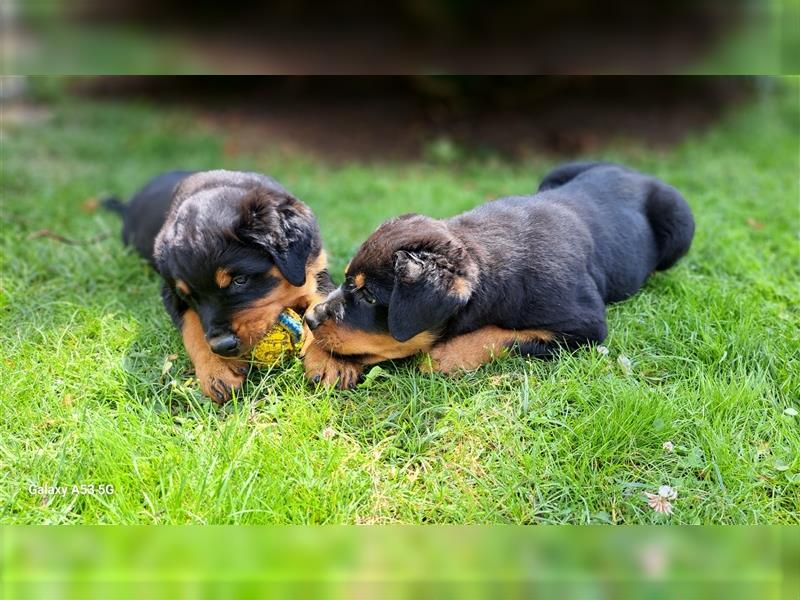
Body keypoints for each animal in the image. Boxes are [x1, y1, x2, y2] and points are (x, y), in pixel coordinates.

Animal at [106, 169, 344, 404]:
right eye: (190, 297)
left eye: (240, 280)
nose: (221, 346)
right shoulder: (171, 292)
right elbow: (192, 326)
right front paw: (218, 368)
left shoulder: (317, 269)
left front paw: (331, 361)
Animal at [304, 162, 692, 386]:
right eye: (347, 279)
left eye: (370, 296)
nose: (309, 319)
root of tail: (632, 170)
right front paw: (323, 358)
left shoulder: (583, 325)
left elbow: (500, 334)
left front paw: (445, 355)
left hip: (681, 224)